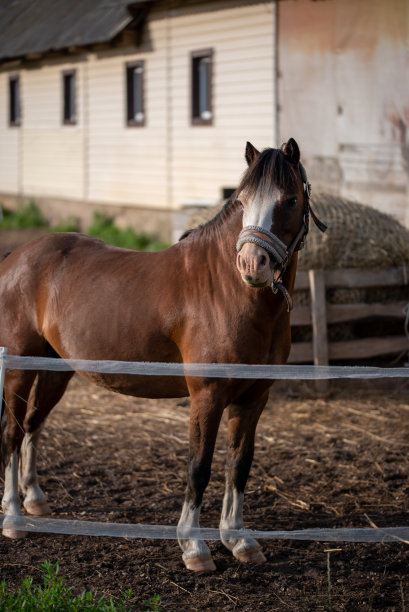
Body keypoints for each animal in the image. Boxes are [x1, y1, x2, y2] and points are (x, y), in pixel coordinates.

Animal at [0, 139, 326, 568]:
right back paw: (13, 518)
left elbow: (239, 465)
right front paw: (194, 547)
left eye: (289, 200)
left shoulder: (255, 397)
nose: (251, 264)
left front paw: (239, 540)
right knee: (11, 433)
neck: (228, 290)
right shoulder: (207, 395)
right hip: (18, 369)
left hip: (57, 369)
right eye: (242, 202)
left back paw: (35, 500)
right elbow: (199, 467)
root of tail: (14, 257)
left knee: (32, 425)